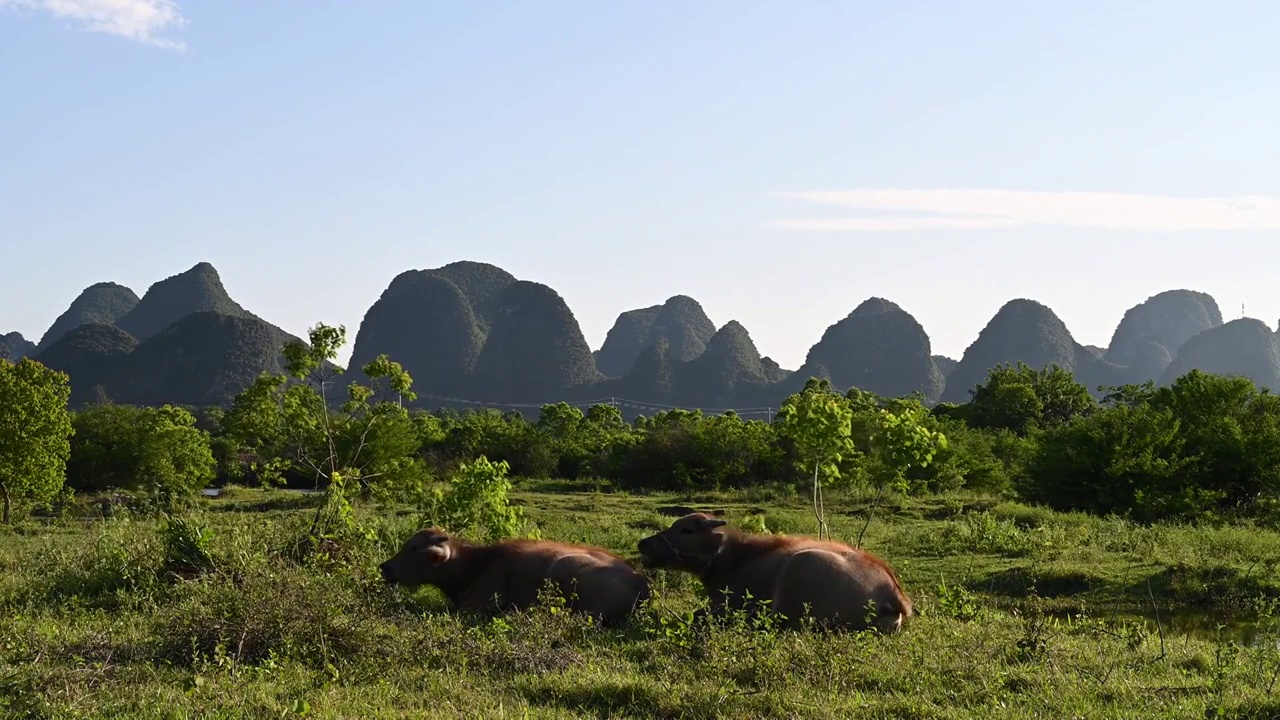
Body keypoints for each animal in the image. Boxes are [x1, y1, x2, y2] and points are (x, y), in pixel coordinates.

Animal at [373, 527, 645, 622]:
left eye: (413, 548)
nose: (385, 567)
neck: (478, 564)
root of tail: (639, 582)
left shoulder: (482, 602)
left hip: (562, 567)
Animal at [637, 507, 911, 630]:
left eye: (686, 530)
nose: (643, 543)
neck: (734, 557)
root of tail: (893, 593)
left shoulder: (726, 605)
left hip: (801, 566)